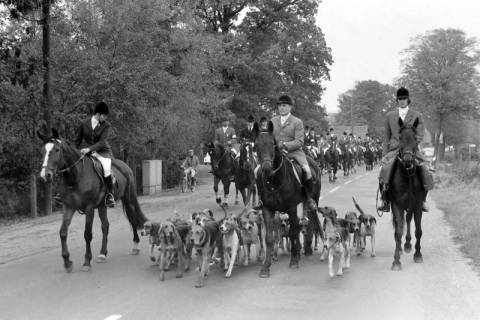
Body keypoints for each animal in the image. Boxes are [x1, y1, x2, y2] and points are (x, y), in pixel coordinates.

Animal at [37, 128, 148, 272]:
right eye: (42, 151)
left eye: (56, 150)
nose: (45, 175)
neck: (76, 176)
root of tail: (125, 166)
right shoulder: (68, 207)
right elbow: (63, 232)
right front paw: (67, 262)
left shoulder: (89, 208)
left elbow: (87, 234)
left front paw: (86, 261)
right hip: (102, 205)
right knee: (105, 226)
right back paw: (102, 254)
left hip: (128, 198)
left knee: (133, 220)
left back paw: (135, 246)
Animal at [253, 121, 320, 278]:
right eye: (256, 145)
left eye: (273, 144)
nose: (266, 168)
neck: (274, 181)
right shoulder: (267, 210)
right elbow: (269, 238)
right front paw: (265, 267)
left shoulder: (291, 208)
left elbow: (293, 232)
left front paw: (294, 260)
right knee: (304, 222)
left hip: (314, 199)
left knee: (309, 222)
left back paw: (306, 250)